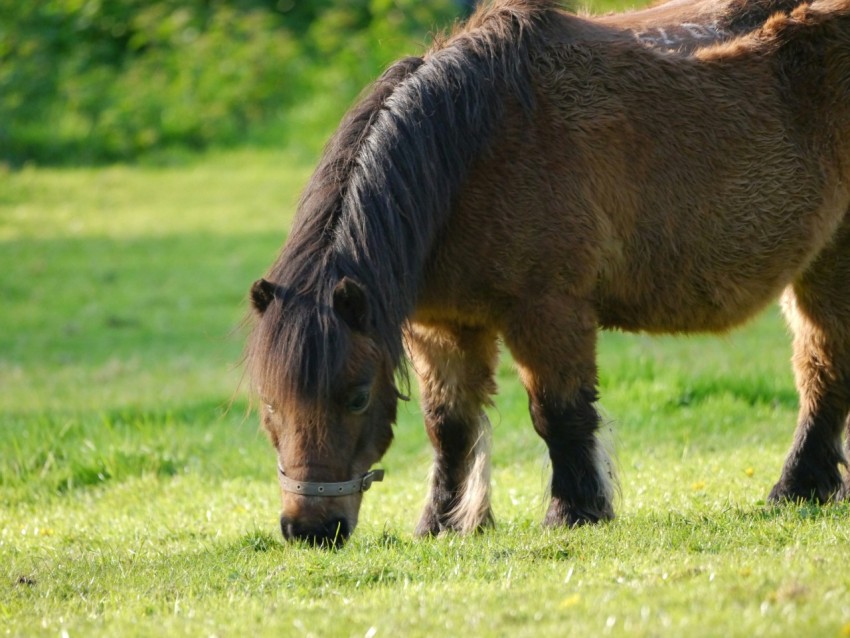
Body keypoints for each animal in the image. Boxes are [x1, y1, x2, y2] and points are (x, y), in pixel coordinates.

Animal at [245, 1, 848, 552]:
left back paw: (797, 488)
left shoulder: (548, 310)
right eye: (269, 403)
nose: (309, 530)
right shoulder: (441, 327)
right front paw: (442, 524)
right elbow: (450, 426)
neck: (474, 149)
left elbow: (559, 415)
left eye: (356, 398)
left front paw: (575, 511)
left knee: (821, 368)